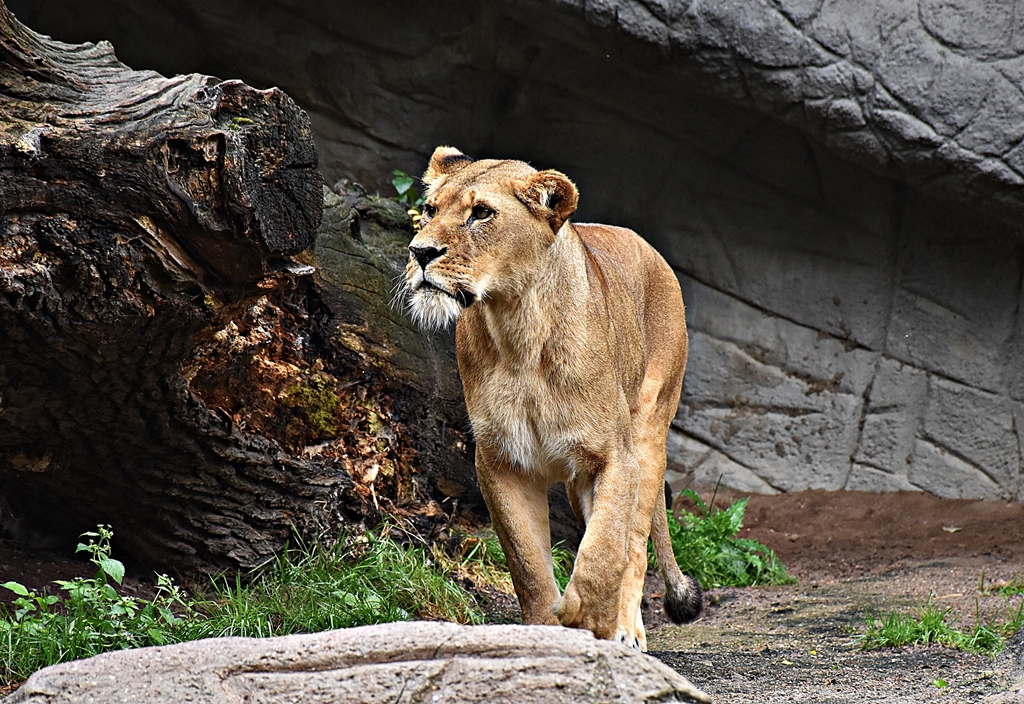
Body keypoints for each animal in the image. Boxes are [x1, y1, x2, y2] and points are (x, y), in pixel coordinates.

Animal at [402, 146, 703, 650]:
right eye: (429, 210)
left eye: (481, 213)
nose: (420, 252)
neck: (518, 329)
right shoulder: (502, 460)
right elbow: (528, 564)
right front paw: (547, 632)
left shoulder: (614, 455)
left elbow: (605, 551)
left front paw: (587, 619)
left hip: (648, 434)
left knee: (635, 543)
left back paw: (627, 630)